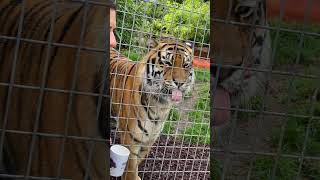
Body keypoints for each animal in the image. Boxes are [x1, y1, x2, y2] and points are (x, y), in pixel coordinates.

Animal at [110, 38, 195, 180]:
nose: (180, 83)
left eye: (185, 65)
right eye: (168, 63)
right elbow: (130, 167)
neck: (160, 105)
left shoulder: (149, 140)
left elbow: (137, 162)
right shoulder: (131, 138)